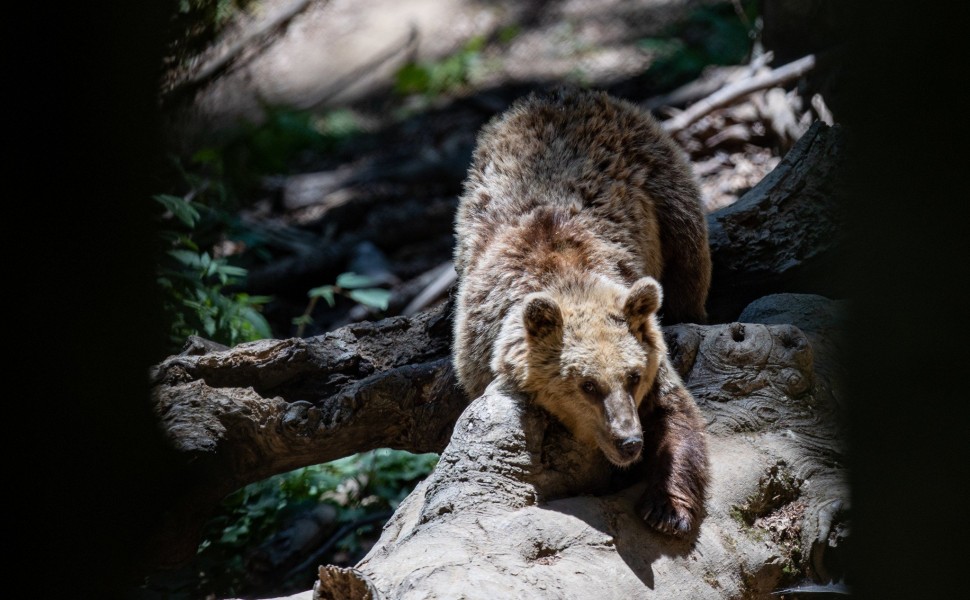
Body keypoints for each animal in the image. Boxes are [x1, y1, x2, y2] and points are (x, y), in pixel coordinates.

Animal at [450, 88, 708, 536]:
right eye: (587, 385)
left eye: (633, 376)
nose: (629, 442)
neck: (567, 279)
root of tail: (561, 93)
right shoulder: (478, 345)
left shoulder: (646, 342)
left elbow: (677, 413)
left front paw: (666, 510)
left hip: (662, 186)